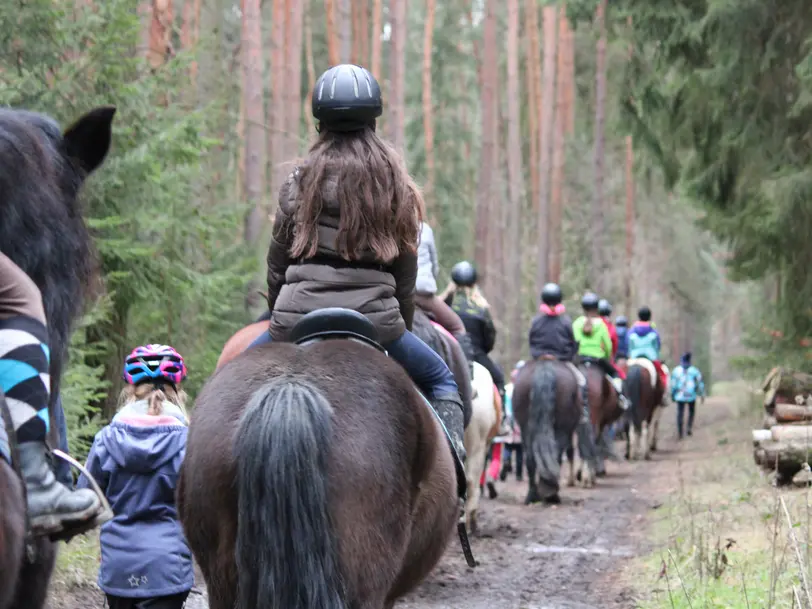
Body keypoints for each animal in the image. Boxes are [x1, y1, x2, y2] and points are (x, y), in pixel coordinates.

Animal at [510, 356, 600, 504]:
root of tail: (545, 365)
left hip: (525, 428)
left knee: (530, 458)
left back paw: (533, 495)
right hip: (562, 428)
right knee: (557, 453)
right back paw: (551, 494)